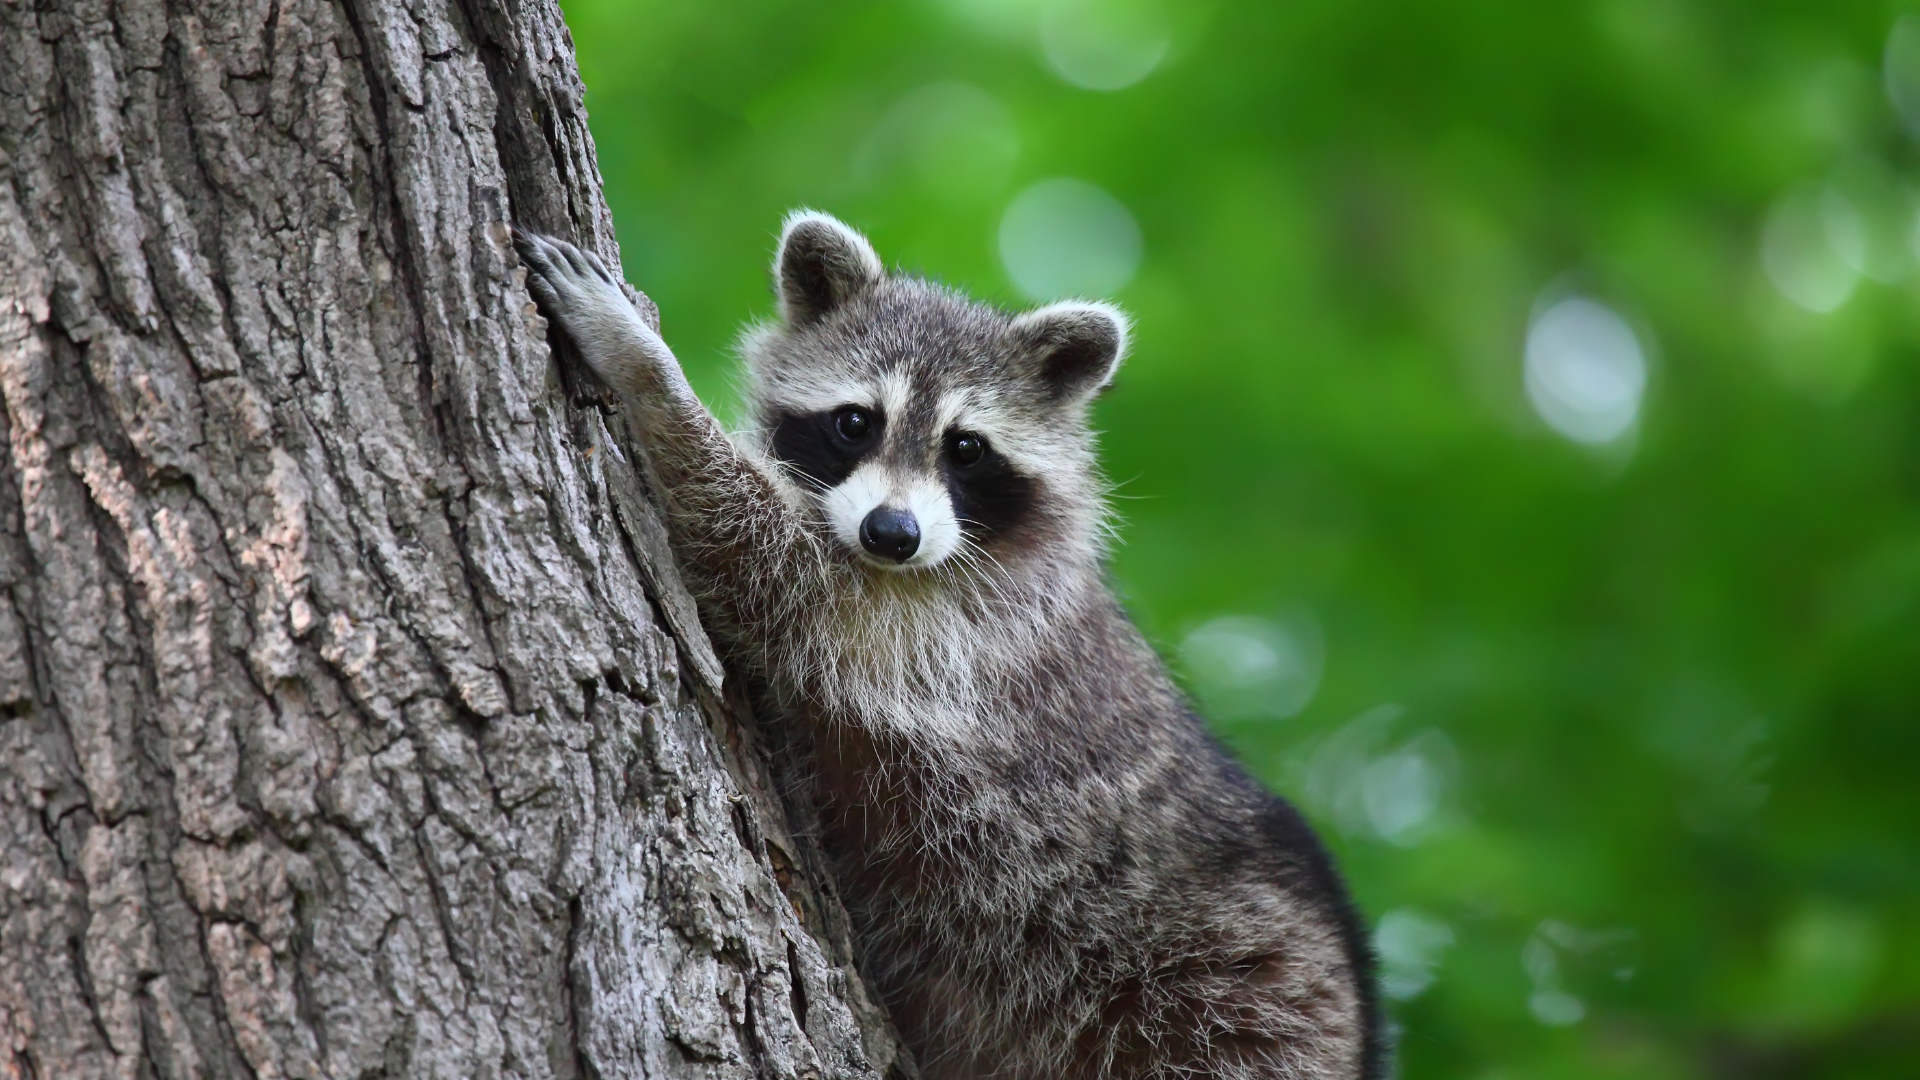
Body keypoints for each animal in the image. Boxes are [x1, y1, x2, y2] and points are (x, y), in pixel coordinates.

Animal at [515, 214, 1383, 1080]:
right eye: (855, 422)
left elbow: (766, 558)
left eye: (966, 448)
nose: (891, 533)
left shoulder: (956, 631)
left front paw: (647, 370)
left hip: (1228, 1012)